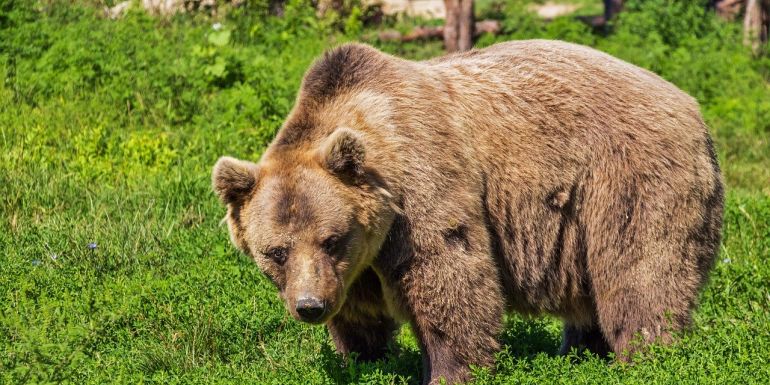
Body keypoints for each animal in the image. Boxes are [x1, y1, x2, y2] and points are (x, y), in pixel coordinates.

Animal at [210, 39, 720, 384]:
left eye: (332, 239)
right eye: (275, 252)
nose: (310, 306)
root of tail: (691, 106)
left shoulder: (422, 188)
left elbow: (450, 279)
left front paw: (449, 370)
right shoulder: (356, 267)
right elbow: (359, 316)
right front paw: (362, 358)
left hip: (627, 180)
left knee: (640, 275)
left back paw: (646, 356)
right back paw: (581, 353)